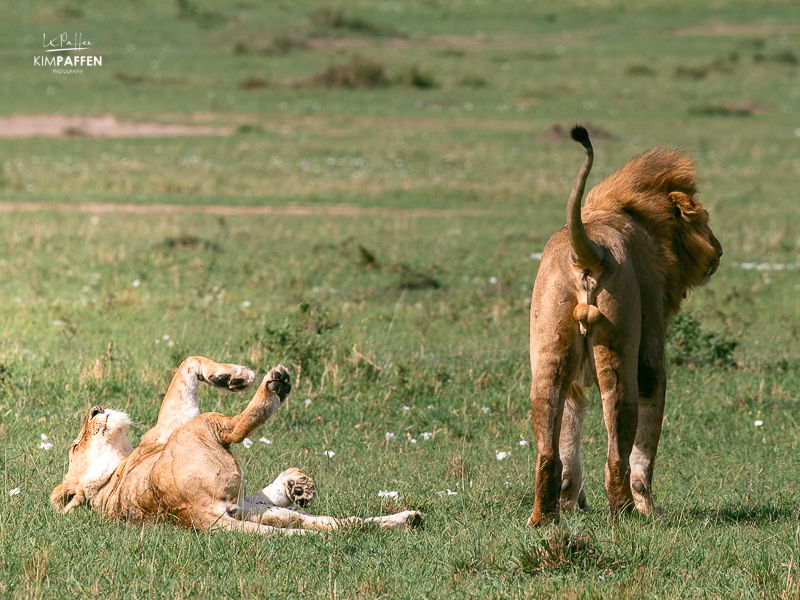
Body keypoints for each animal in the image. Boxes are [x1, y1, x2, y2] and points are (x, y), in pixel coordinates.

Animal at [52, 356, 422, 536]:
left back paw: (408, 519)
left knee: (332, 523)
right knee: (235, 426)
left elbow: (189, 360)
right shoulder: (173, 426)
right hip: (199, 429)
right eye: (76, 444)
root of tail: (193, 512)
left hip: (247, 508)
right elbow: (187, 366)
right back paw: (275, 386)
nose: (96, 409)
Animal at [528, 125, 720, 524]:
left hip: (549, 357)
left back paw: (544, 519)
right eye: (705, 223)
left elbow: (570, 445)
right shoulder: (652, 361)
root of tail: (587, 251)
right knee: (618, 455)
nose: (720, 251)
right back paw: (627, 514)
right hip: (620, 355)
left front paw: (570, 505)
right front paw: (649, 509)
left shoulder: (574, 383)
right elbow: (644, 456)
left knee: (550, 453)